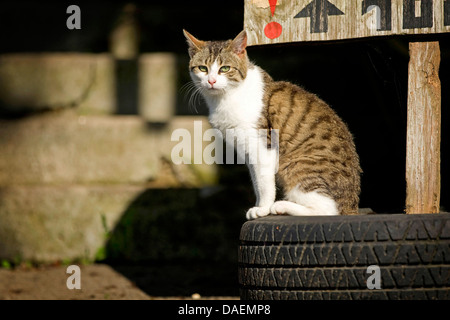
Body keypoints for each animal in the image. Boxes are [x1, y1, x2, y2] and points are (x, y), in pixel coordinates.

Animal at [183, 30, 362, 220]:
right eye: (203, 68)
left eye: (225, 68)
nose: (211, 81)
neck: (225, 97)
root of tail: (352, 205)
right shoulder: (247, 151)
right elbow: (256, 181)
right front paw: (258, 204)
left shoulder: (262, 145)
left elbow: (264, 184)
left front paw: (263, 208)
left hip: (298, 166)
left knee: (328, 209)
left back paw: (282, 206)